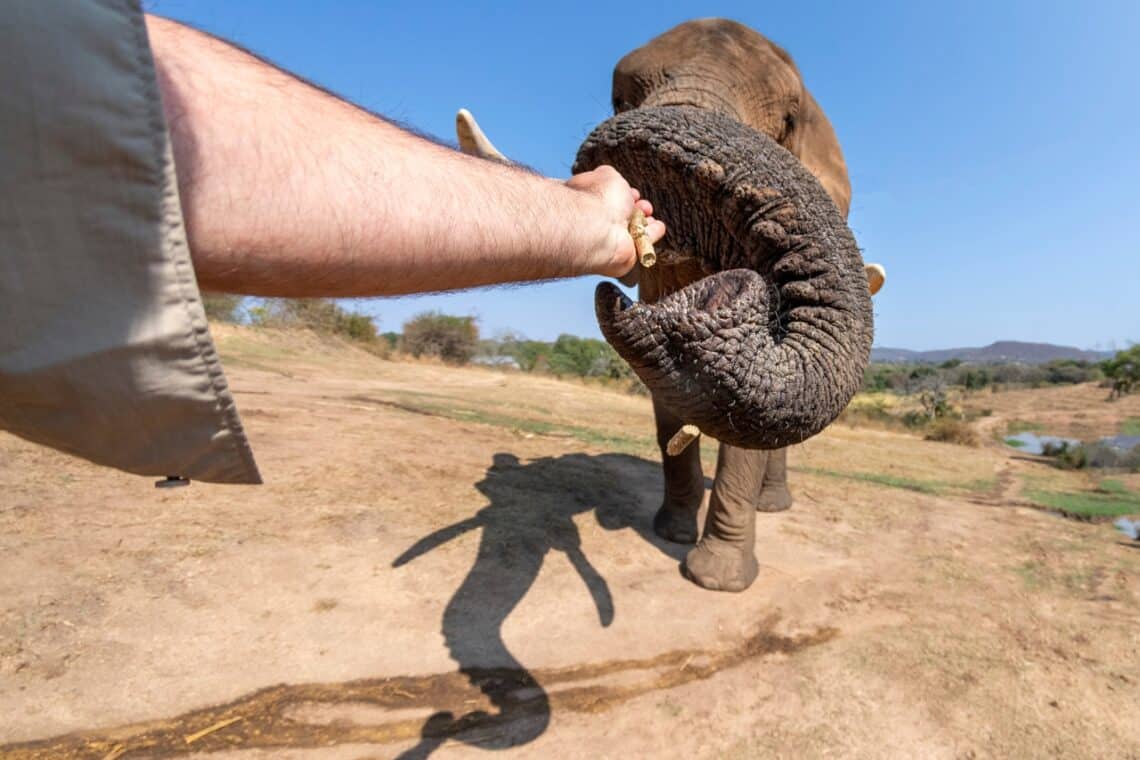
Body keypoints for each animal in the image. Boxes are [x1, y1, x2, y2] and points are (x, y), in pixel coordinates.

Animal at [456, 19, 881, 592]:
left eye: (789, 121)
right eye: (618, 98)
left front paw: (716, 580)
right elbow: (667, 397)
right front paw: (673, 534)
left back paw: (772, 506)